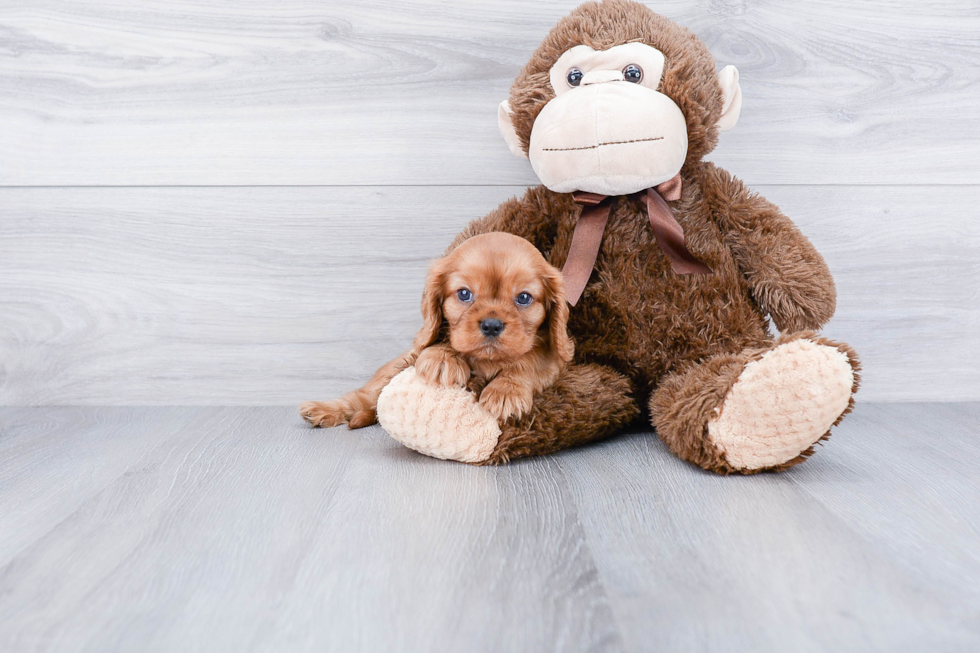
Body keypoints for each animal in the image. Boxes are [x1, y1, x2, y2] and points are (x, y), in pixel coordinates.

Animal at [300, 230, 576, 428]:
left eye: (524, 298)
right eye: (464, 294)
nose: (491, 324)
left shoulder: (553, 361)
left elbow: (529, 361)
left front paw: (506, 391)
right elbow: (439, 342)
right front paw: (442, 357)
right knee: (363, 397)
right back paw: (323, 409)